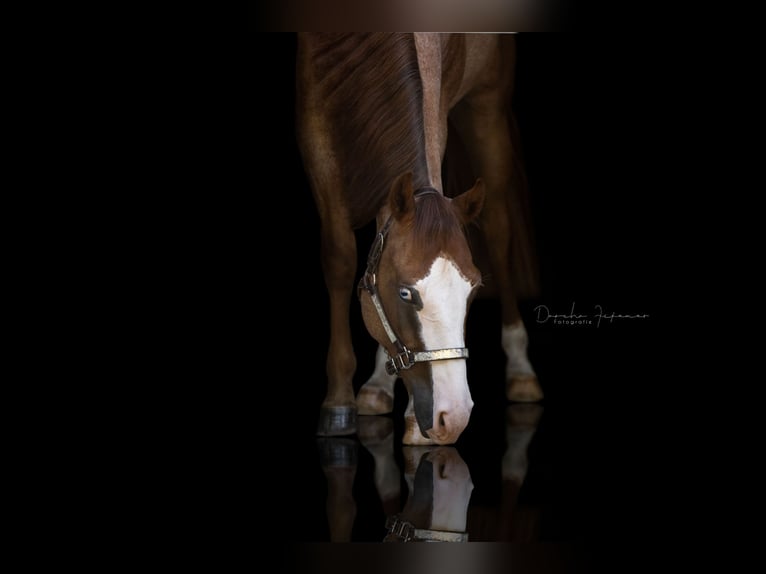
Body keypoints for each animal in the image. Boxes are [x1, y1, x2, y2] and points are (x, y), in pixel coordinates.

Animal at [297, 33, 542, 446]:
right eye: (405, 294)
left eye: (473, 291)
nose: (453, 417)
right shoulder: (316, 123)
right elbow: (340, 258)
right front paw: (339, 404)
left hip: (487, 107)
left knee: (498, 230)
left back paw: (522, 369)